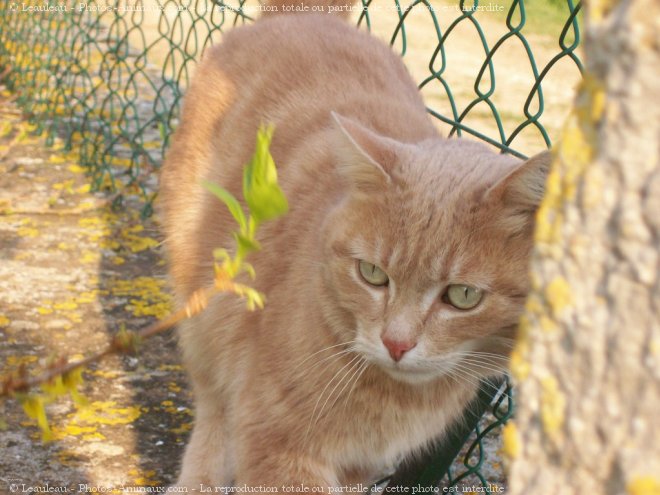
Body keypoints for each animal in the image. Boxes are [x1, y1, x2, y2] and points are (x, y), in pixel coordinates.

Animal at [159, 0, 552, 488]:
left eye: (463, 296)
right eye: (373, 275)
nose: (396, 344)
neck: (397, 401)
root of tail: (304, 16)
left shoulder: (359, 465)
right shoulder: (280, 445)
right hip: (202, 302)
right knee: (212, 407)